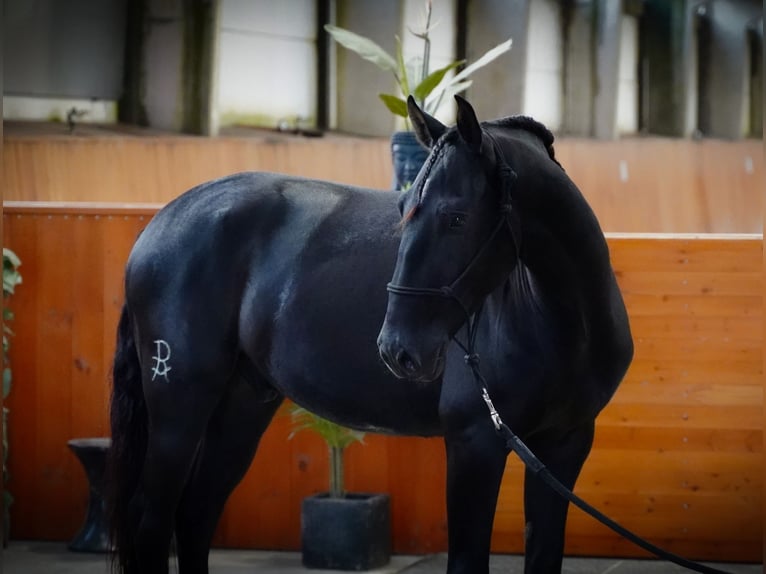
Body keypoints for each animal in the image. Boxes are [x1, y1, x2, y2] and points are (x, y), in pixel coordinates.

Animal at [108, 97, 636, 572]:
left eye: (456, 217)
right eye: (404, 206)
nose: (398, 349)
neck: (560, 323)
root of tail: (161, 222)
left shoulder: (564, 446)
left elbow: (544, 554)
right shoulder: (476, 443)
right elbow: (467, 561)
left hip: (241, 407)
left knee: (195, 514)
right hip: (179, 407)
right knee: (151, 521)